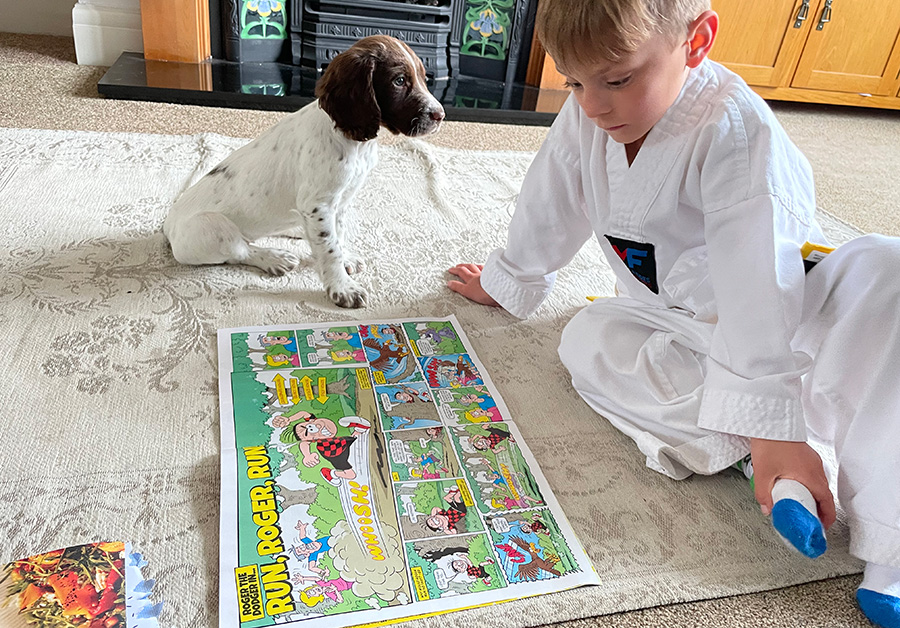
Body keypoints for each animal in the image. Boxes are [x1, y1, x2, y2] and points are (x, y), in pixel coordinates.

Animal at [164, 35, 446, 308]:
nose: (440, 115)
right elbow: (329, 247)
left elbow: (337, 234)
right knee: (239, 250)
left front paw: (345, 258)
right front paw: (342, 288)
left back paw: (297, 230)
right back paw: (273, 257)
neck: (352, 141)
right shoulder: (319, 204)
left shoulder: (339, 201)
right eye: (399, 80)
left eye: (424, 78)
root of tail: (167, 228)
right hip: (211, 227)